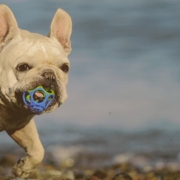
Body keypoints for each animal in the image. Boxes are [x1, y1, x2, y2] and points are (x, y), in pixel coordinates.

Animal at [0, 4, 71, 179]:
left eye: (65, 68)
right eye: (23, 67)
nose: (50, 74)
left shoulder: (20, 124)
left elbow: (38, 149)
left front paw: (23, 168)